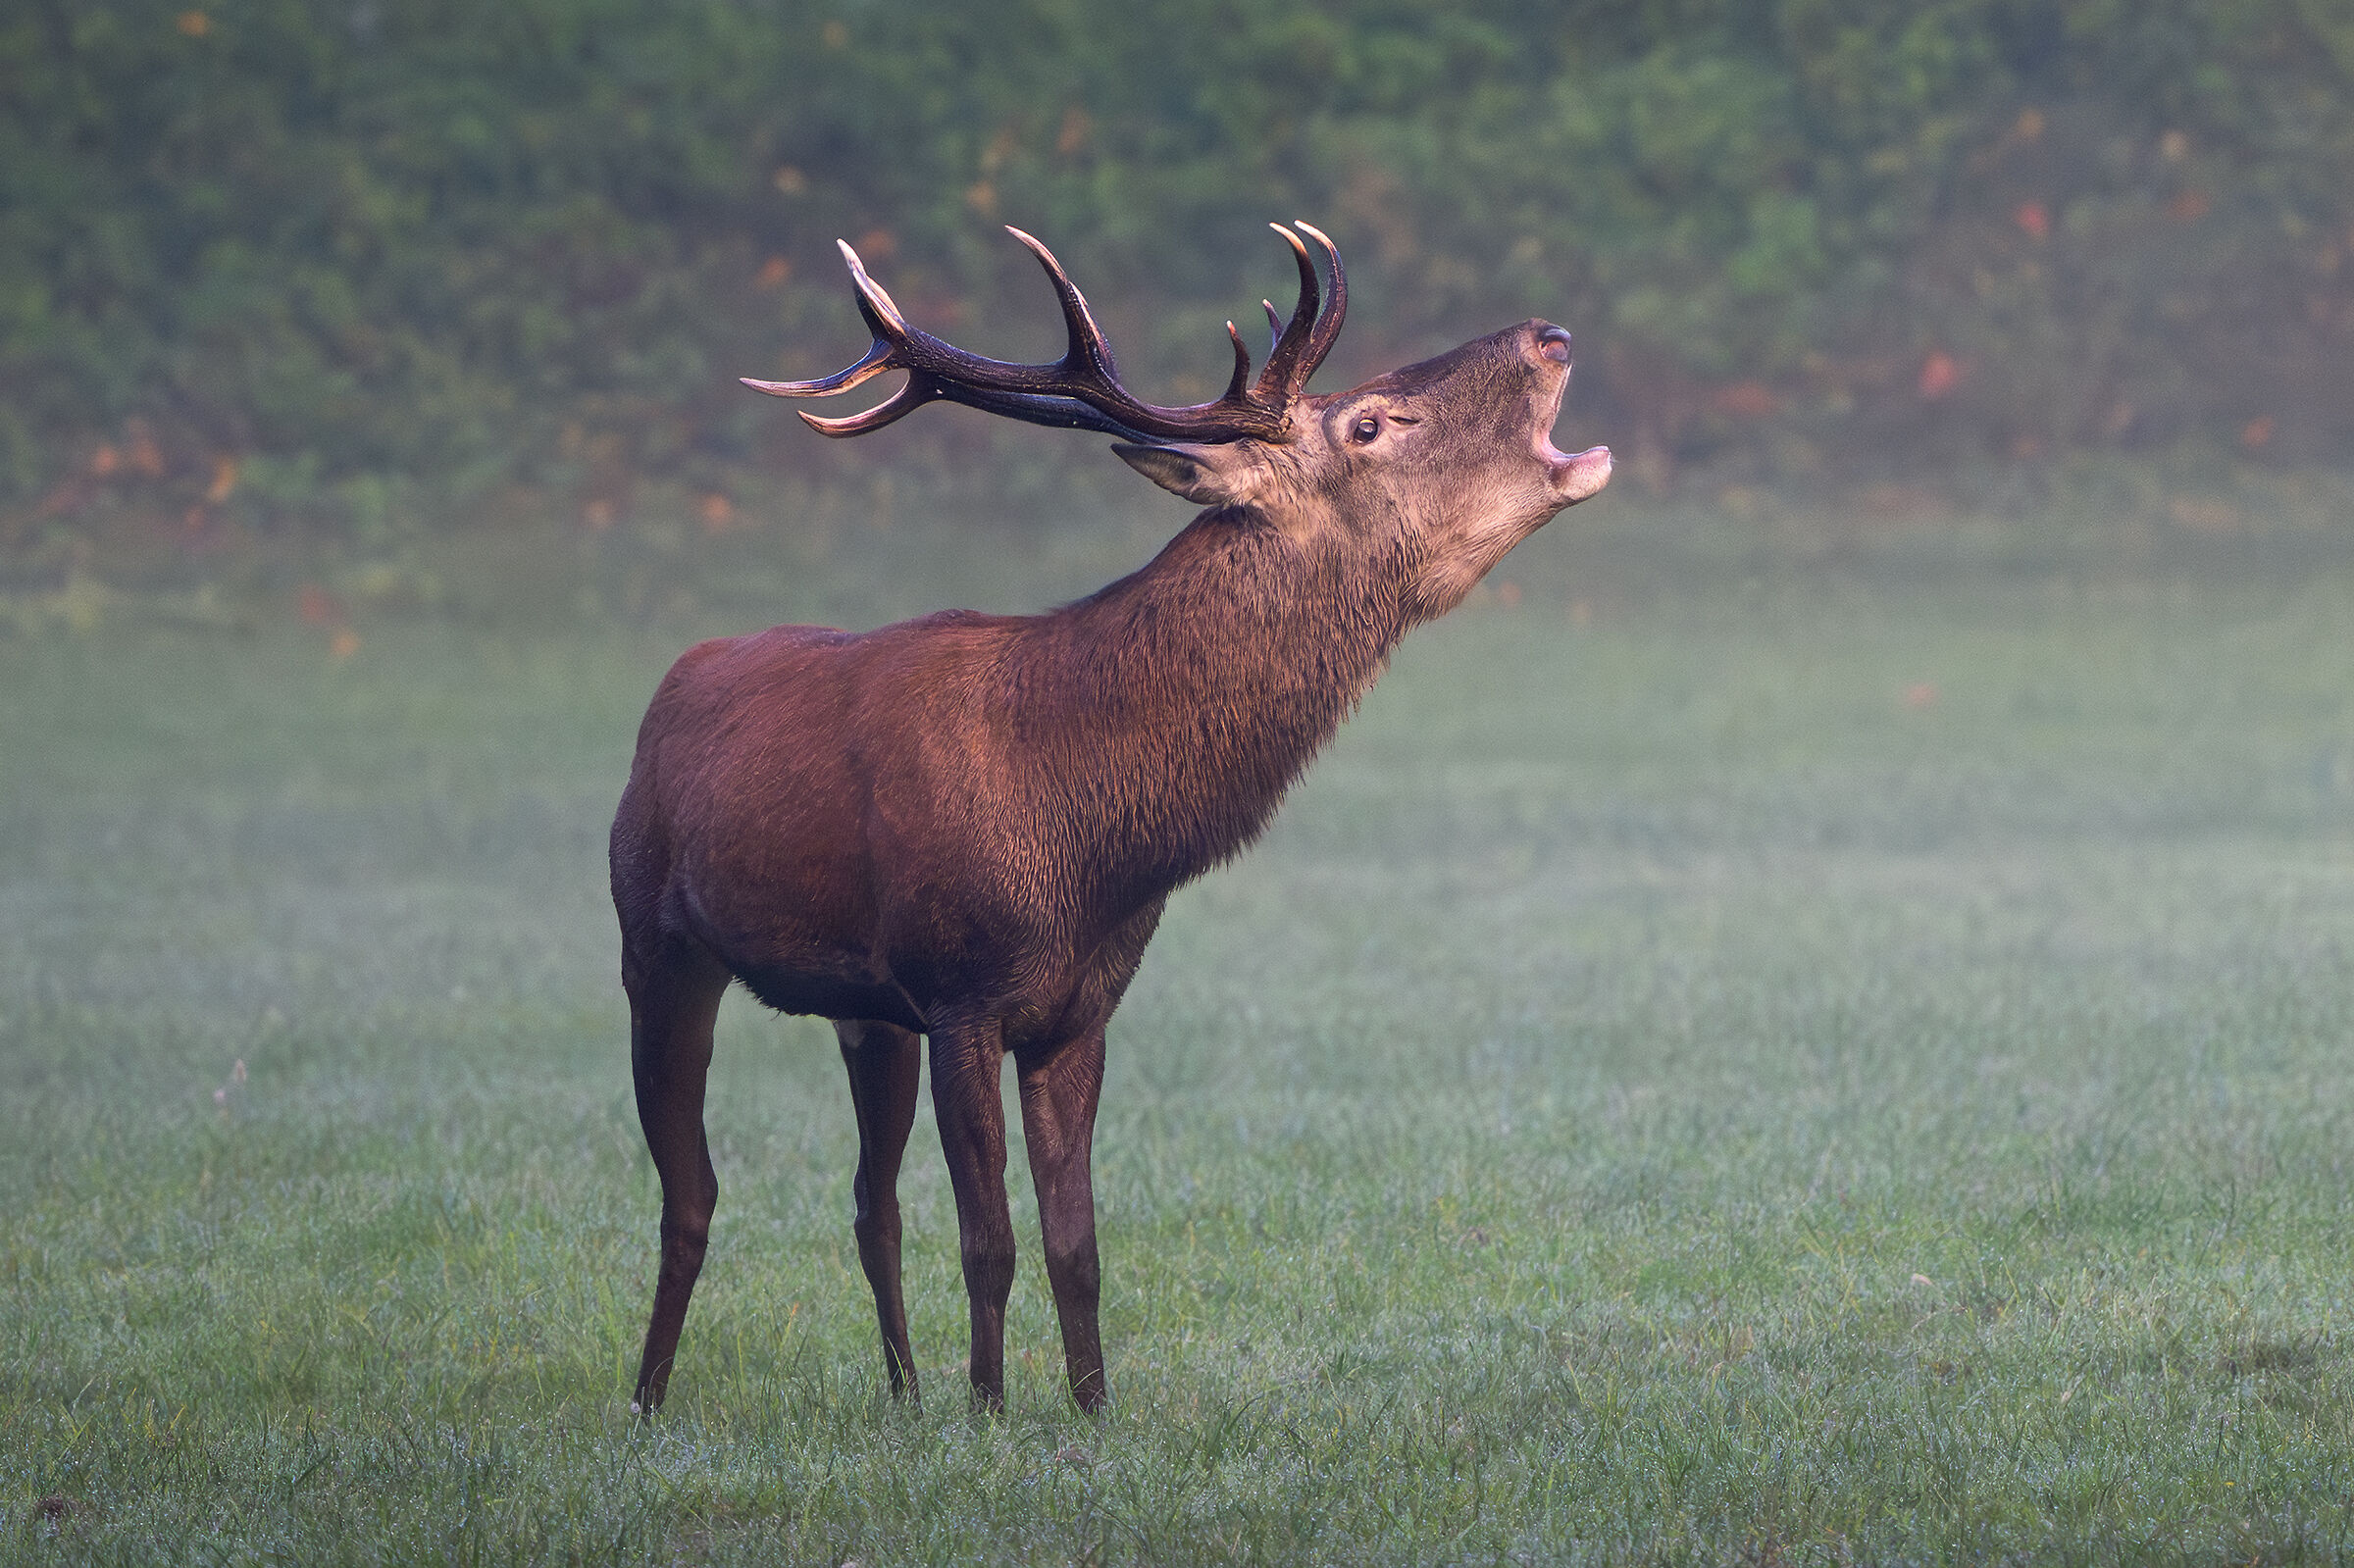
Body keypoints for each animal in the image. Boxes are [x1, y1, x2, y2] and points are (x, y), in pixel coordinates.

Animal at [611, 220, 1611, 1416]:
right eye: (1369, 422)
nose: (1551, 334)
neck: (1083, 832)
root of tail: (672, 682)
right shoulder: (960, 989)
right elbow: (988, 1240)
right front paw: (988, 1418)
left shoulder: (1078, 1009)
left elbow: (1075, 1244)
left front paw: (1090, 1414)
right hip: (654, 943)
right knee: (692, 1196)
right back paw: (649, 1401)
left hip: (864, 1011)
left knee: (869, 1200)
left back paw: (901, 1396)